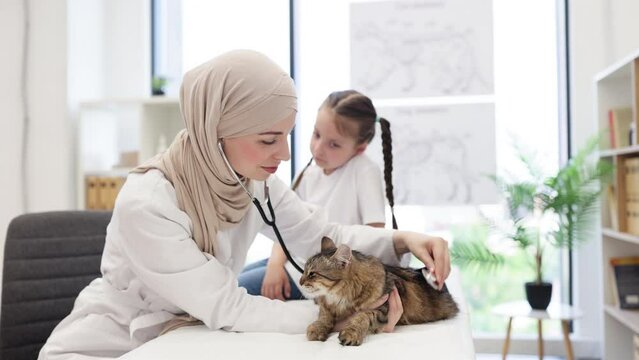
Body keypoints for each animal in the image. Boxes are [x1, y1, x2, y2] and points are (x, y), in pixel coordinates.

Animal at [300, 236, 460, 346]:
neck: (339, 298)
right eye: (304, 271)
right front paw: (317, 329)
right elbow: (324, 316)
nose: (300, 282)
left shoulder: (382, 308)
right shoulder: (325, 305)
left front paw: (351, 333)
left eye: (312, 274)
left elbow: (361, 317)